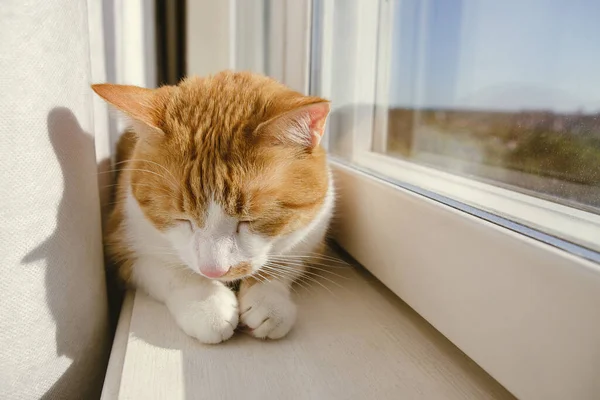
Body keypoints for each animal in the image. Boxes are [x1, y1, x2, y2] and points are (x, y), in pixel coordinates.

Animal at [94, 70, 338, 342]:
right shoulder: (121, 243)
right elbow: (173, 272)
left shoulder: (311, 239)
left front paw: (269, 300)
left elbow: (285, 263)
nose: (214, 272)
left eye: (250, 221)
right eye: (182, 219)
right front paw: (207, 303)